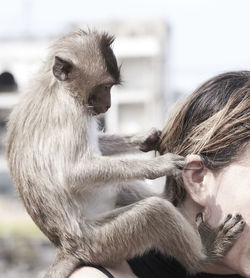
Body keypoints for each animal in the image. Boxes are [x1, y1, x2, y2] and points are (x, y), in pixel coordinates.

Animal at [6, 29, 245, 276]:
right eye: (104, 87)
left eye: (111, 87)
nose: (108, 105)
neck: (56, 86)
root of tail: (67, 248)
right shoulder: (67, 113)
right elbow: (72, 173)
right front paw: (159, 165)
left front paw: (147, 138)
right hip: (100, 241)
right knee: (153, 212)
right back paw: (204, 256)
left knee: (120, 184)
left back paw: (168, 196)